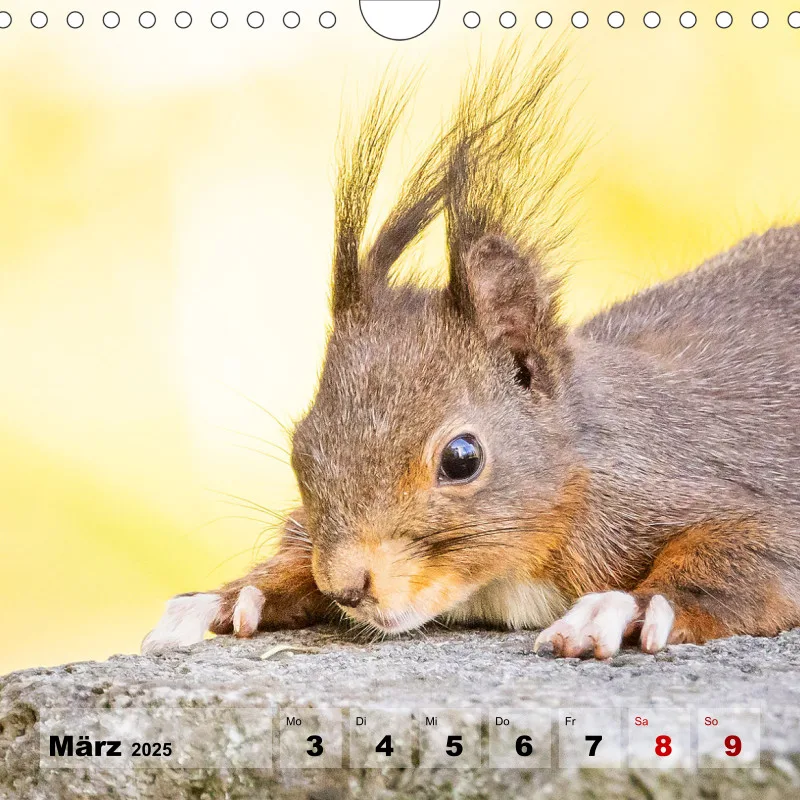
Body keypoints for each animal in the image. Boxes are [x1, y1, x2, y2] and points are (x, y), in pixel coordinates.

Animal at [143, 48, 800, 660]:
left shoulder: (698, 481)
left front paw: (623, 609)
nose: (346, 587)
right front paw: (238, 591)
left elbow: (753, 555)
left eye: (462, 459)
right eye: (299, 448)